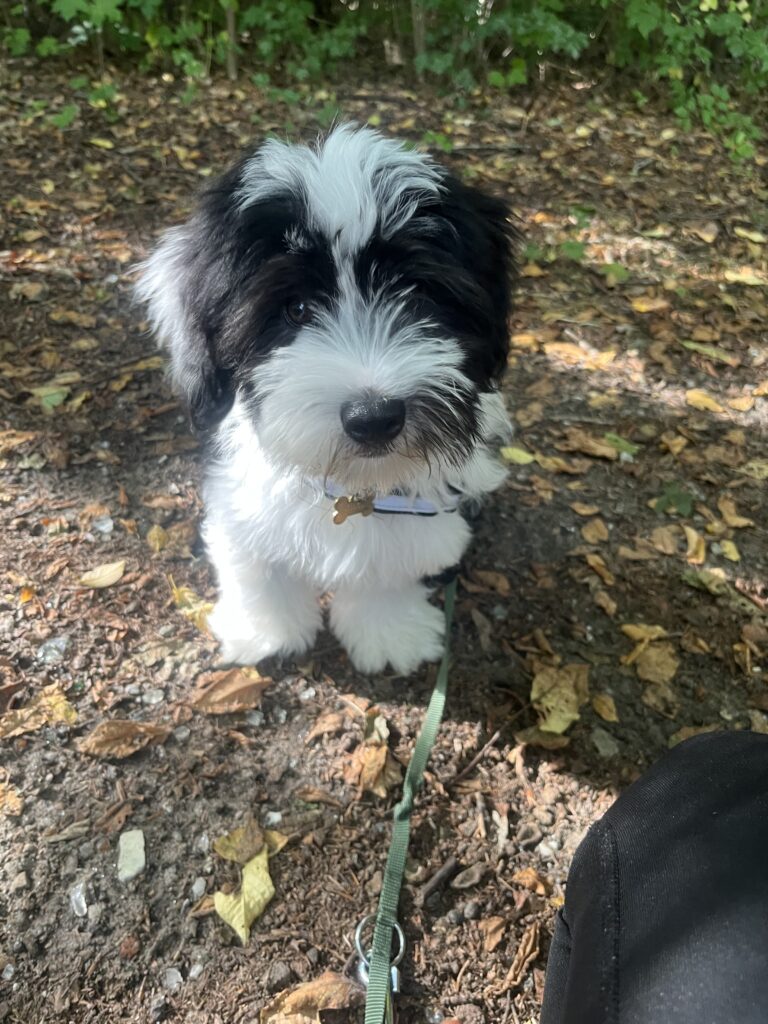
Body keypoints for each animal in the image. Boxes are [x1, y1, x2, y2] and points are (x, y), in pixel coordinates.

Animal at [137, 123, 516, 674]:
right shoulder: (238, 493)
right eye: (295, 308)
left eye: (417, 294)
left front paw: (389, 631)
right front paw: (266, 632)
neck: (352, 486)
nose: (374, 417)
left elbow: (393, 562)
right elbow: (255, 562)